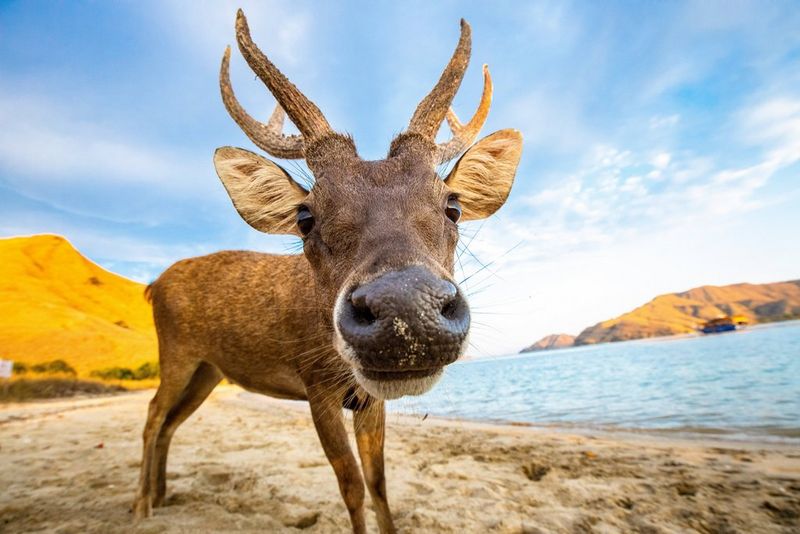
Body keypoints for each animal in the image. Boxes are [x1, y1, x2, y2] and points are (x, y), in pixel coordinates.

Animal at [133, 9, 522, 533]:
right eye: (305, 216)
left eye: (453, 205)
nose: (407, 309)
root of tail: (152, 287)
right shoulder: (315, 384)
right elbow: (351, 486)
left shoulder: (368, 398)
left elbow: (379, 483)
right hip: (175, 351)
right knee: (153, 414)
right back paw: (141, 503)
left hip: (207, 371)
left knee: (171, 421)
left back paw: (162, 493)